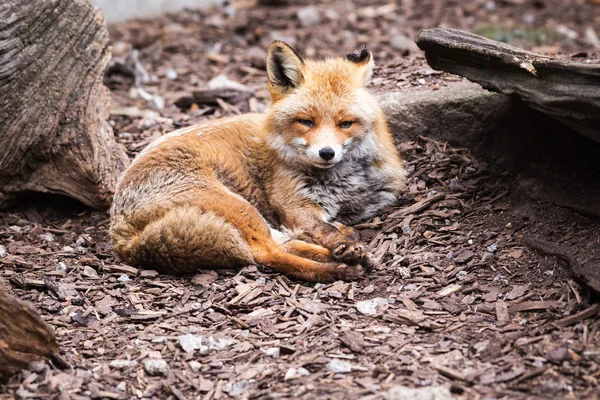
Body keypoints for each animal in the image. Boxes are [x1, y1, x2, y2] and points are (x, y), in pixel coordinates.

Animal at [109, 41, 406, 282]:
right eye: (306, 122)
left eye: (346, 124)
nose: (326, 153)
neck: (343, 182)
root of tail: (118, 229)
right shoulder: (293, 205)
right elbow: (325, 228)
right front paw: (342, 244)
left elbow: (333, 227)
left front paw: (347, 241)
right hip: (239, 207)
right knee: (268, 253)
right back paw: (339, 268)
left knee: (282, 244)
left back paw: (352, 258)